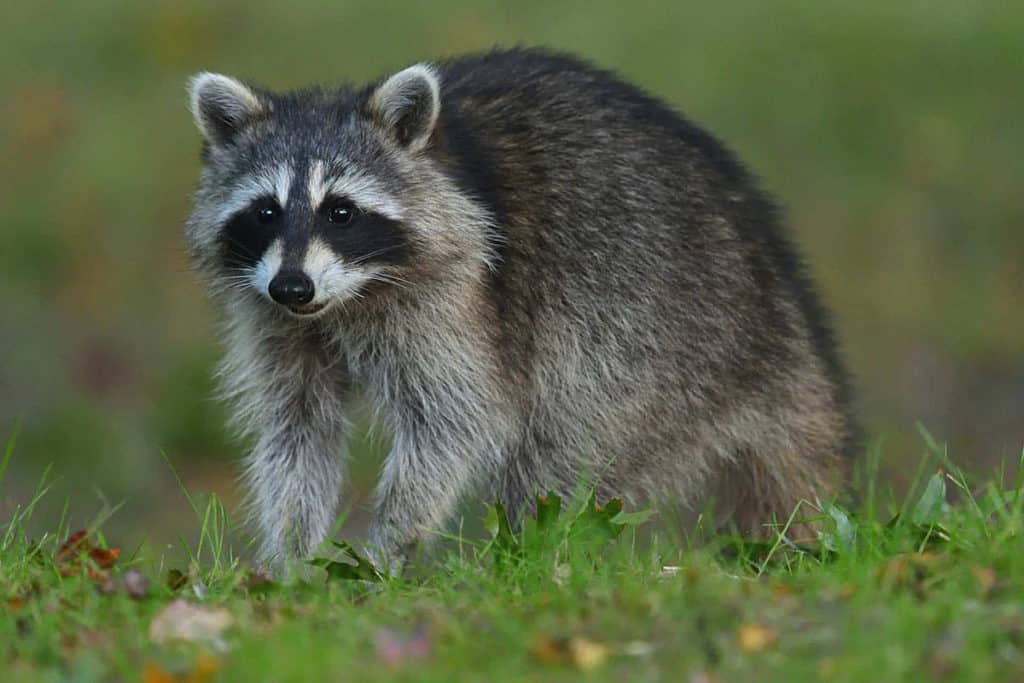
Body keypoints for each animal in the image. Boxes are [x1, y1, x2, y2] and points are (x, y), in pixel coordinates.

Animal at [182, 49, 856, 573]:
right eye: (266, 212)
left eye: (340, 212)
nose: (292, 288)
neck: (345, 299)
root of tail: (779, 300)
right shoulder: (276, 322)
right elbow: (297, 431)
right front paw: (293, 558)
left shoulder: (460, 298)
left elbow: (455, 418)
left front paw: (387, 547)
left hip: (655, 334)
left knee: (562, 444)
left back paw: (528, 553)